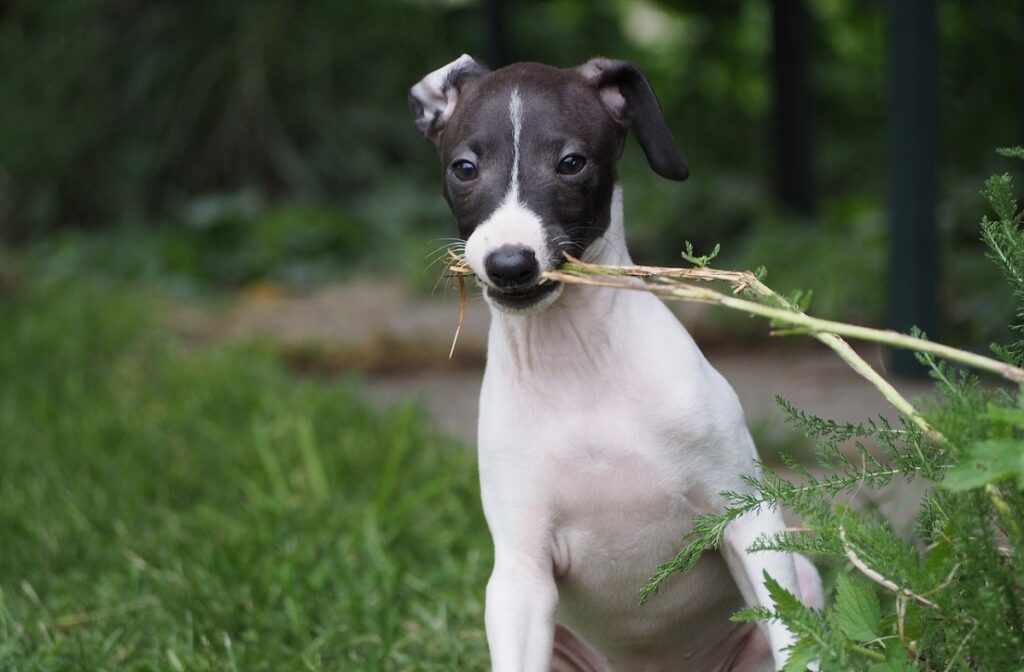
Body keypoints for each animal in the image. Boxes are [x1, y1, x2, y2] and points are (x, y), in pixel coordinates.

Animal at [411, 55, 819, 667]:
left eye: (571, 162)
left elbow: (798, 641)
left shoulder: (747, 520)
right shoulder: (520, 572)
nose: (510, 264)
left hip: (800, 574)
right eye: (464, 167)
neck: (578, 364)